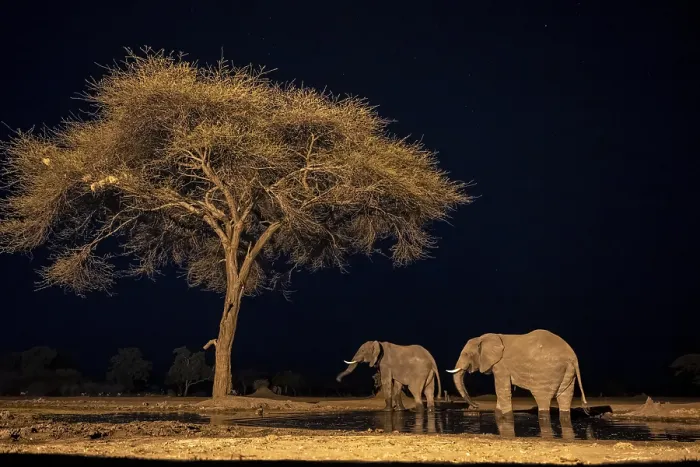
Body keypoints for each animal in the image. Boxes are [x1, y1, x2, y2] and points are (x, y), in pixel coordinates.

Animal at [447, 329, 588, 418]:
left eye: (467, 354)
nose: (476, 406)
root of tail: (573, 357)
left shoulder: (501, 365)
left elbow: (502, 390)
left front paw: (505, 415)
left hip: (547, 372)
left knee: (542, 399)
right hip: (568, 371)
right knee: (565, 397)